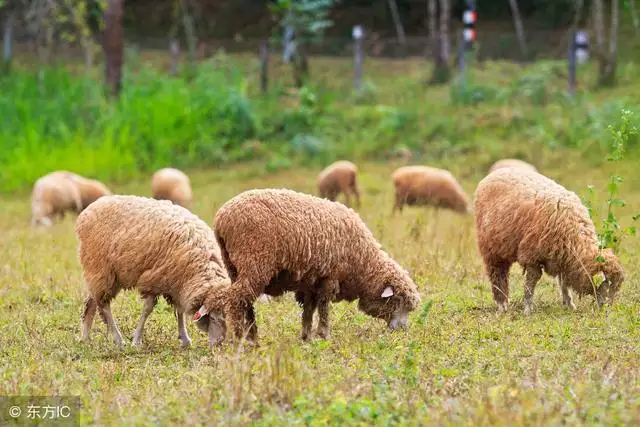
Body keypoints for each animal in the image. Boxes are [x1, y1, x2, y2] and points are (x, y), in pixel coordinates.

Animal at [77, 196, 230, 350]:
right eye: (214, 318)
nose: (219, 345)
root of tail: (89, 210)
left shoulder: (177, 283)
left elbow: (179, 311)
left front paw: (185, 339)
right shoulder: (154, 281)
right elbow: (147, 310)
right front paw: (136, 340)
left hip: (99, 273)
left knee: (91, 303)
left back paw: (85, 338)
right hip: (101, 269)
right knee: (104, 306)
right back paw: (119, 340)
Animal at [196, 187, 424, 344]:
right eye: (398, 301)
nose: (403, 330)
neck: (362, 262)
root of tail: (222, 219)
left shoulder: (311, 282)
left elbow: (308, 311)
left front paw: (306, 337)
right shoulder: (329, 278)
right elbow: (323, 309)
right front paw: (324, 335)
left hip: (235, 266)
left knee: (245, 301)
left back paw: (253, 336)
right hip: (255, 261)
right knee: (236, 300)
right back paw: (241, 339)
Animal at [472, 167, 624, 314]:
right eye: (608, 285)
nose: (606, 310)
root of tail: (493, 174)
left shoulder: (564, 258)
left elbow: (563, 283)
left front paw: (569, 304)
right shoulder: (532, 257)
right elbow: (530, 284)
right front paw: (527, 309)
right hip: (492, 248)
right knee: (498, 275)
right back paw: (502, 305)